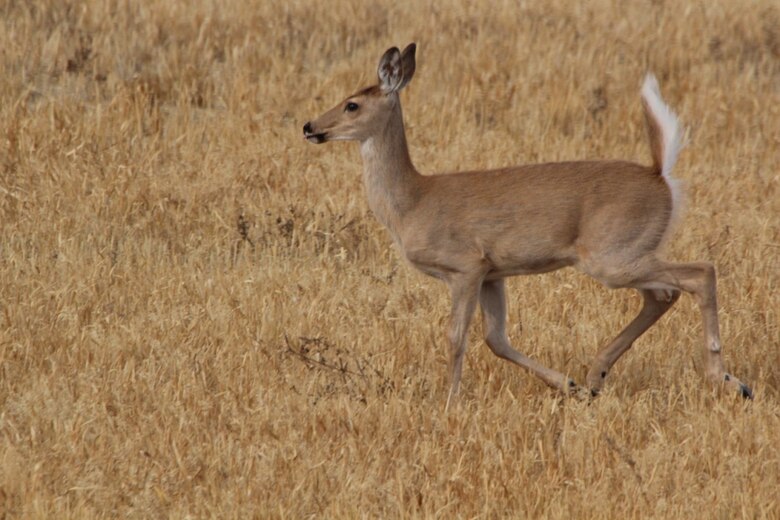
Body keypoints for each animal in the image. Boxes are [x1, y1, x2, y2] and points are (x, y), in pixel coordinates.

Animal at [302, 42, 752, 404]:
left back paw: (728, 380)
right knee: (663, 293)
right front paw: (567, 385)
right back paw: (594, 377)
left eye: (352, 104)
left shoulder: (465, 266)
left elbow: (455, 336)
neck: (412, 201)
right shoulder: (493, 273)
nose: (310, 126)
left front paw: (448, 402)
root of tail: (661, 176)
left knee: (699, 272)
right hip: (626, 253)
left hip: (611, 255)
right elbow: (496, 339)